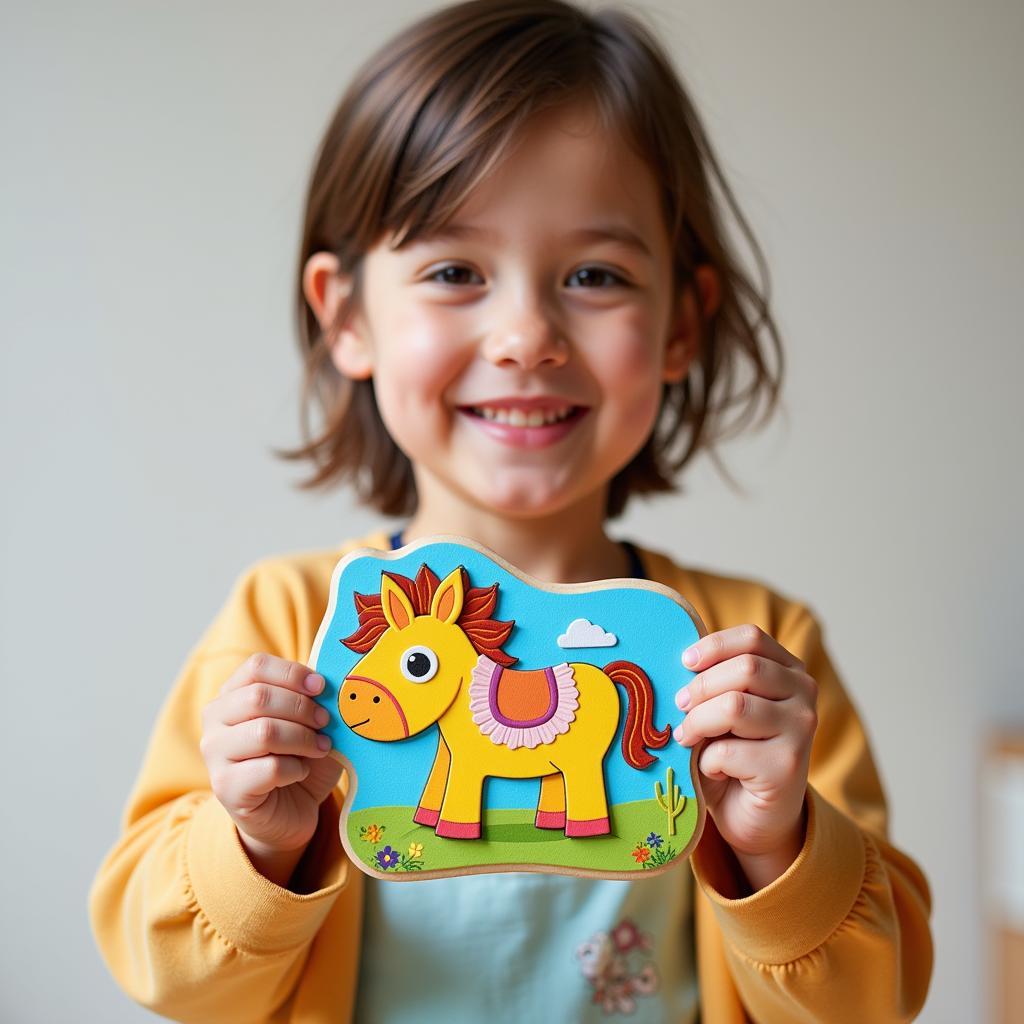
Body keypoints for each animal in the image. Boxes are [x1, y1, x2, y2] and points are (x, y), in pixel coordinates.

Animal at [337, 561, 671, 839]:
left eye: (417, 664)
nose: (352, 698)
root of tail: (605, 674)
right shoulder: (446, 752)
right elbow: (435, 784)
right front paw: (425, 823)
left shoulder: (468, 762)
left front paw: (453, 834)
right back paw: (549, 827)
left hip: (584, 760)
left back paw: (585, 833)